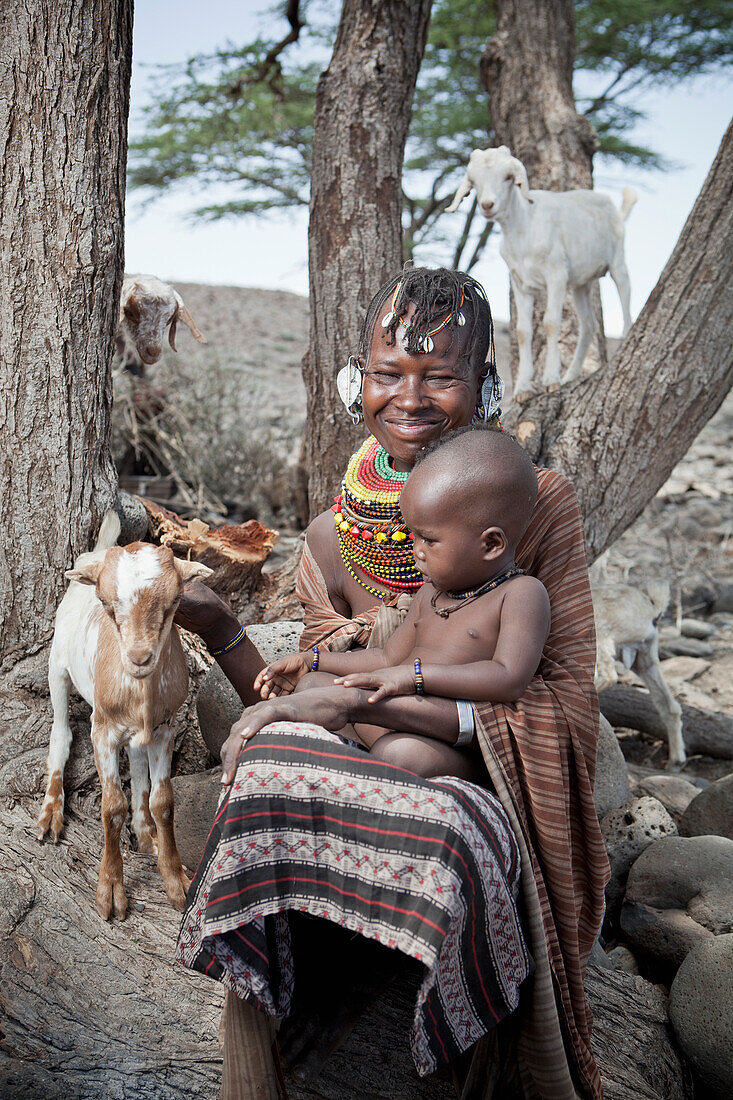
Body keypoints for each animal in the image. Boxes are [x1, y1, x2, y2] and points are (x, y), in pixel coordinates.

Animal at [37, 514, 211, 919]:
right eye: (105, 602)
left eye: (175, 601)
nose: (139, 658)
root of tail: (96, 553)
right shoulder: (103, 731)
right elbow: (112, 807)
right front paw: (111, 890)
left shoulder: (164, 729)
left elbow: (164, 803)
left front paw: (175, 878)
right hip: (57, 665)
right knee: (61, 733)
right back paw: (51, 812)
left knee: (136, 759)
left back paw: (145, 834)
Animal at [444, 148, 633, 400]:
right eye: (474, 182)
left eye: (508, 178)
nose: (487, 205)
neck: (524, 225)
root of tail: (613, 206)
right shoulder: (521, 284)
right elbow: (523, 331)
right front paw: (523, 388)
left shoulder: (556, 275)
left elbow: (551, 323)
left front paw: (551, 380)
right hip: (581, 284)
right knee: (588, 324)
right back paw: (571, 375)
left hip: (617, 258)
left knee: (625, 293)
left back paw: (625, 337)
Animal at [589, 580, 686, 770]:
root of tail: (652, 609)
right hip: (645, 660)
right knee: (669, 705)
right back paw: (675, 762)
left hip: (601, 635)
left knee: (608, 676)